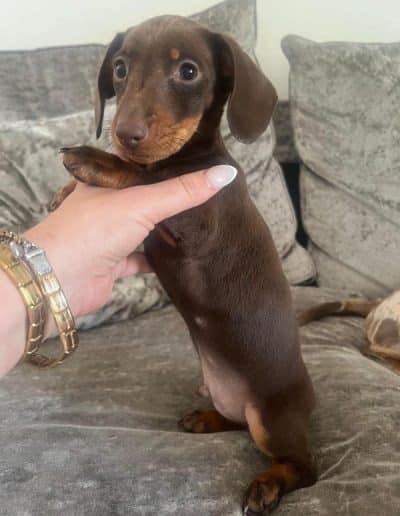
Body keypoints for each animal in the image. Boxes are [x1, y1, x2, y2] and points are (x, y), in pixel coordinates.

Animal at [57, 15, 318, 512]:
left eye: (189, 72)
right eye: (119, 68)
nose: (125, 135)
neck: (186, 158)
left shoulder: (196, 222)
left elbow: (146, 180)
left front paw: (99, 163)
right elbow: (146, 178)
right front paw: (67, 193)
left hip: (271, 418)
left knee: (304, 467)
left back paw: (269, 484)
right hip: (239, 409)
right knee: (238, 424)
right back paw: (208, 419)